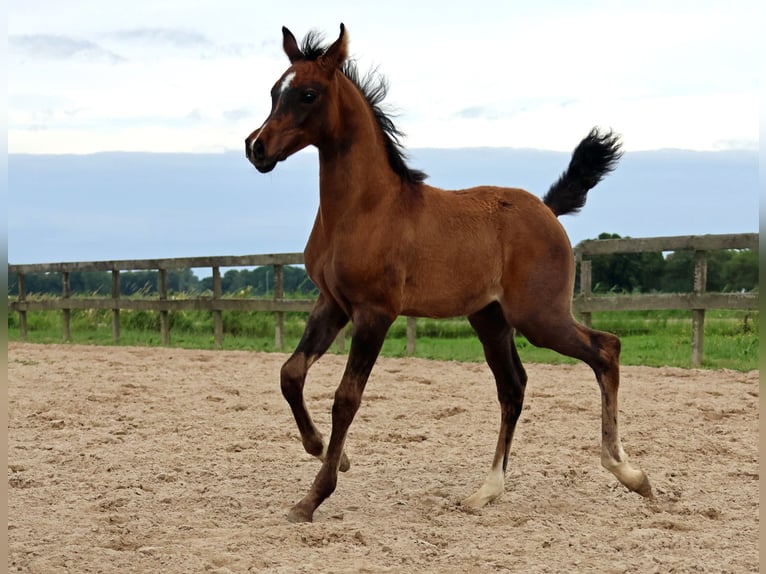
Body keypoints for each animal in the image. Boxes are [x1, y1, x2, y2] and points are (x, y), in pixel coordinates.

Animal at [246, 23, 656, 528]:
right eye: (273, 92)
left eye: (307, 94)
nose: (256, 147)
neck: (365, 208)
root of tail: (546, 208)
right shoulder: (333, 303)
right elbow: (291, 373)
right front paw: (327, 451)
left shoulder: (375, 313)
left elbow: (346, 398)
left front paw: (313, 496)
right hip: (491, 320)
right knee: (513, 387)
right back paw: (487, 491)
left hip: (540, 317)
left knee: (606, 350)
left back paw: (628, 472)